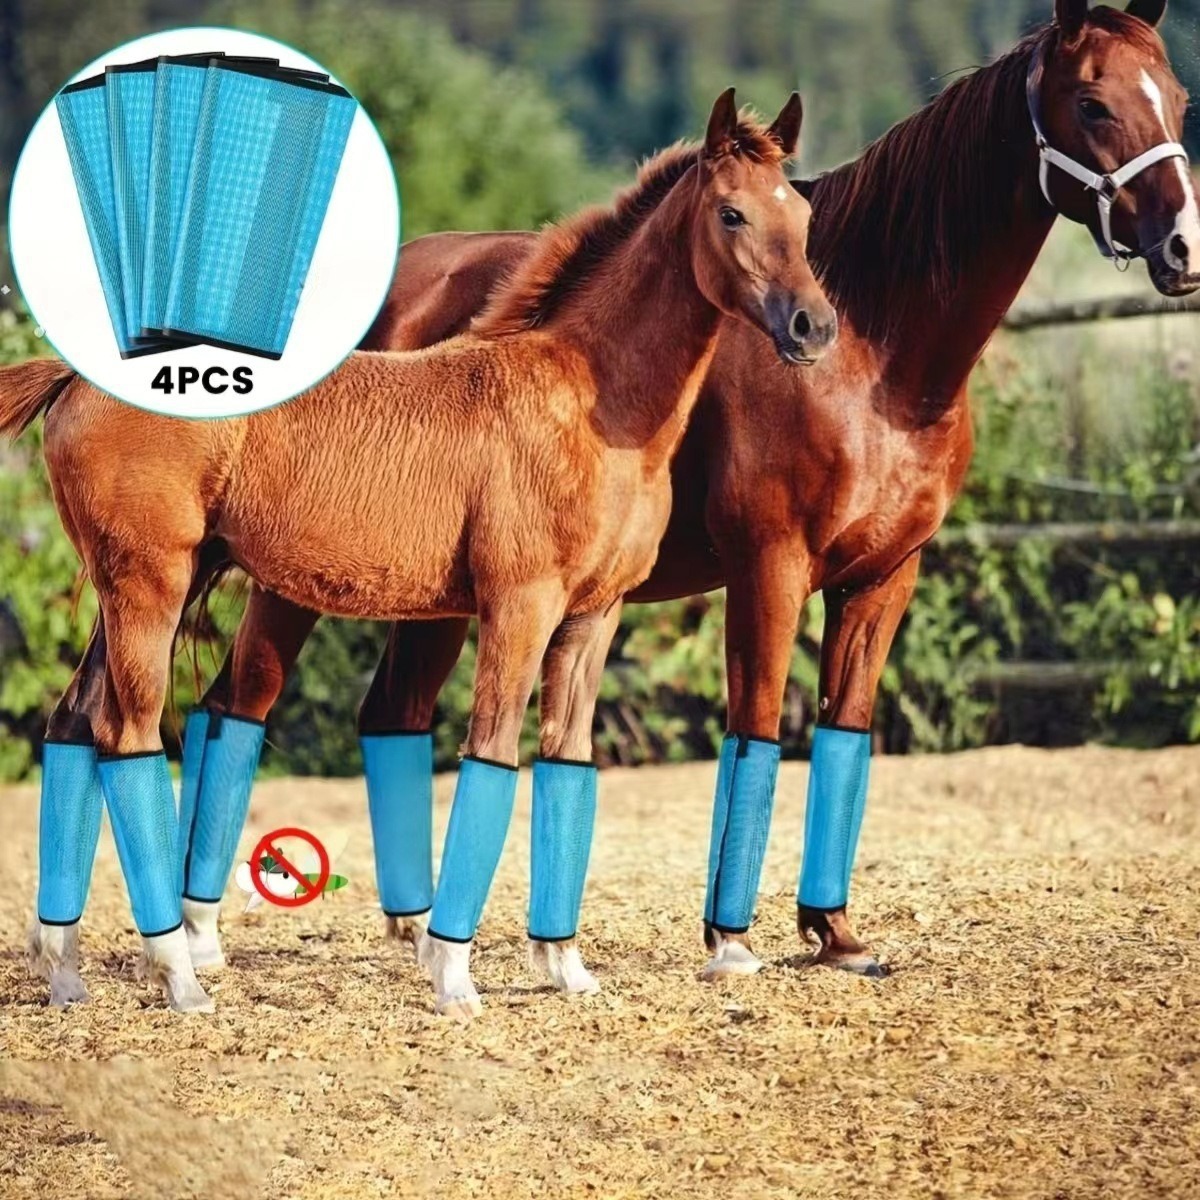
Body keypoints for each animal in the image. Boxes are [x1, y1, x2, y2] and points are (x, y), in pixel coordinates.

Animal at [4, 91, 835, 1016]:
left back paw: (66, 969)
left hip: (141, 588)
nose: (813, 327)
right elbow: (493, 755)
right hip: (151, 583)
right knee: (129, 735)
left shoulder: (594, 616)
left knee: (75, 722)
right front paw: (454, 973)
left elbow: (567, 760)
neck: (587, 400)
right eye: (731, 212)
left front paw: (565, 967)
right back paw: (179, 974)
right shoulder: (519, 604)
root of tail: (75, 376)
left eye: (801, 214)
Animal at [173, 0, 1199, 984]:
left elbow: (844, 732)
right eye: (1094, 102)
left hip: (430, 596)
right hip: (301, 582)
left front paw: (835, 935)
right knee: (236, 705)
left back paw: (417, 930)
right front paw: (730, 939)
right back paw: (207, 932)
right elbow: (757, 731)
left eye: (1180, 99)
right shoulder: (770, 567)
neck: (879, 358)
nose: (1183, 247)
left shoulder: (885, 578)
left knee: (389, 716)